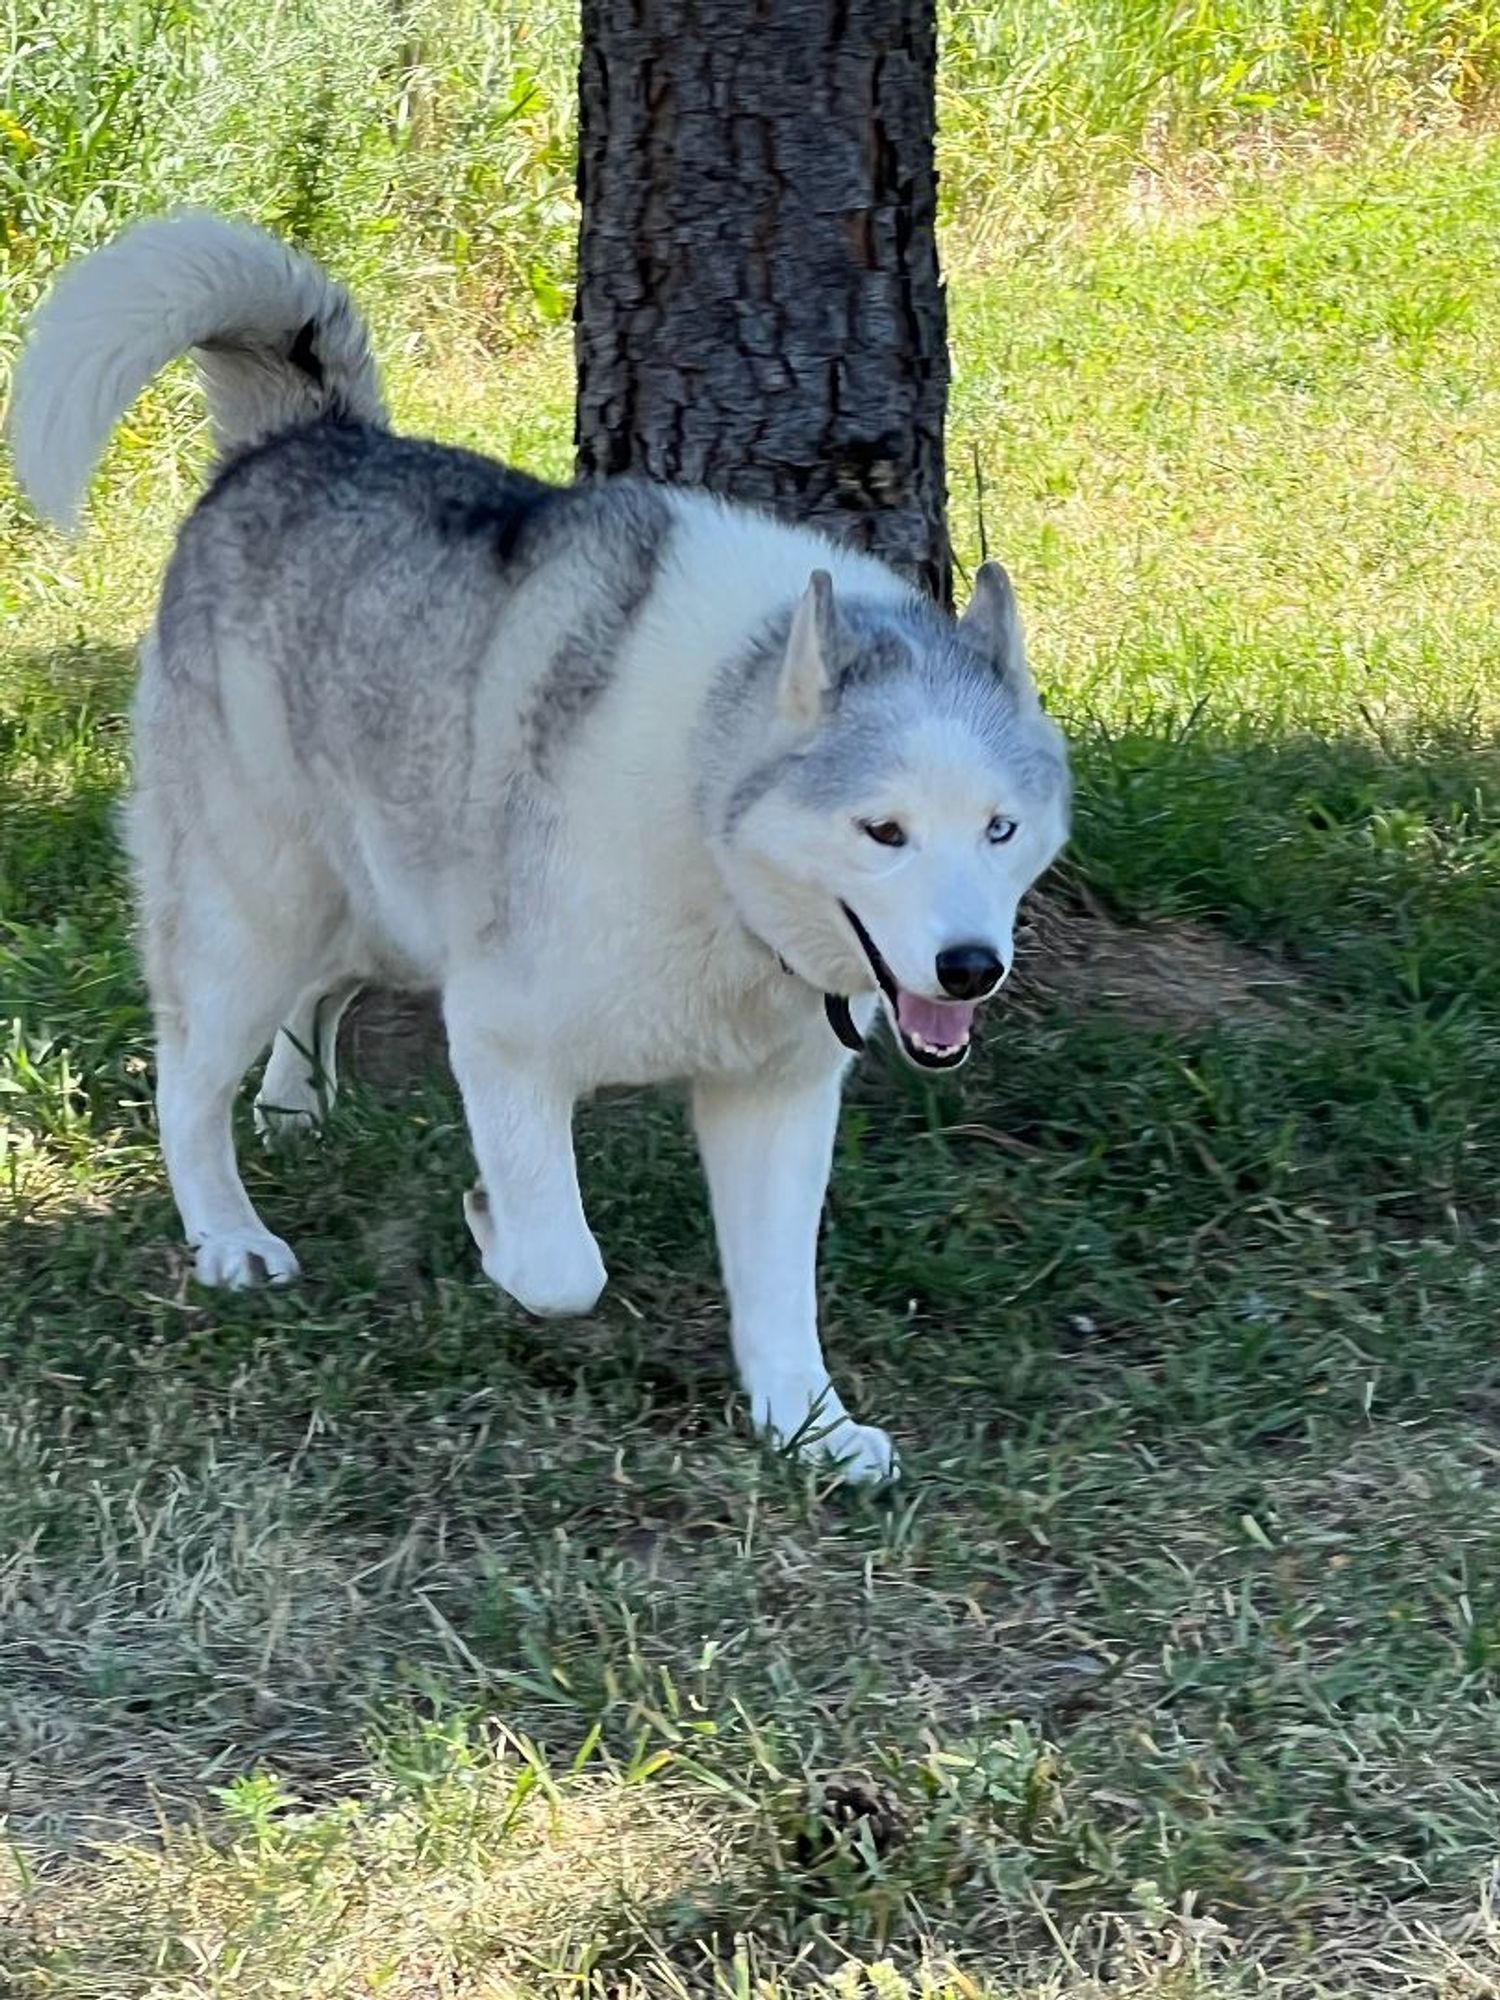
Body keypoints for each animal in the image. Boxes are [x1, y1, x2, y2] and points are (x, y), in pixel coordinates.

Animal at [8, 215, 1072, 1488]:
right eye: (884, 830)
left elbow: (778, 1290)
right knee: (186, 1078)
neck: (705, 811)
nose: (971, 968)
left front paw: (807, 1422)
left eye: (1000, 827)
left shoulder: (775, 1090)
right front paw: (489, 1227)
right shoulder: (502, 1035)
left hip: (383, 892)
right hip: (254, 911)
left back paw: (297, 1103)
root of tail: (300, 439)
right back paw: (228, 1232)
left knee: (318, 992)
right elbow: (564, 1266)